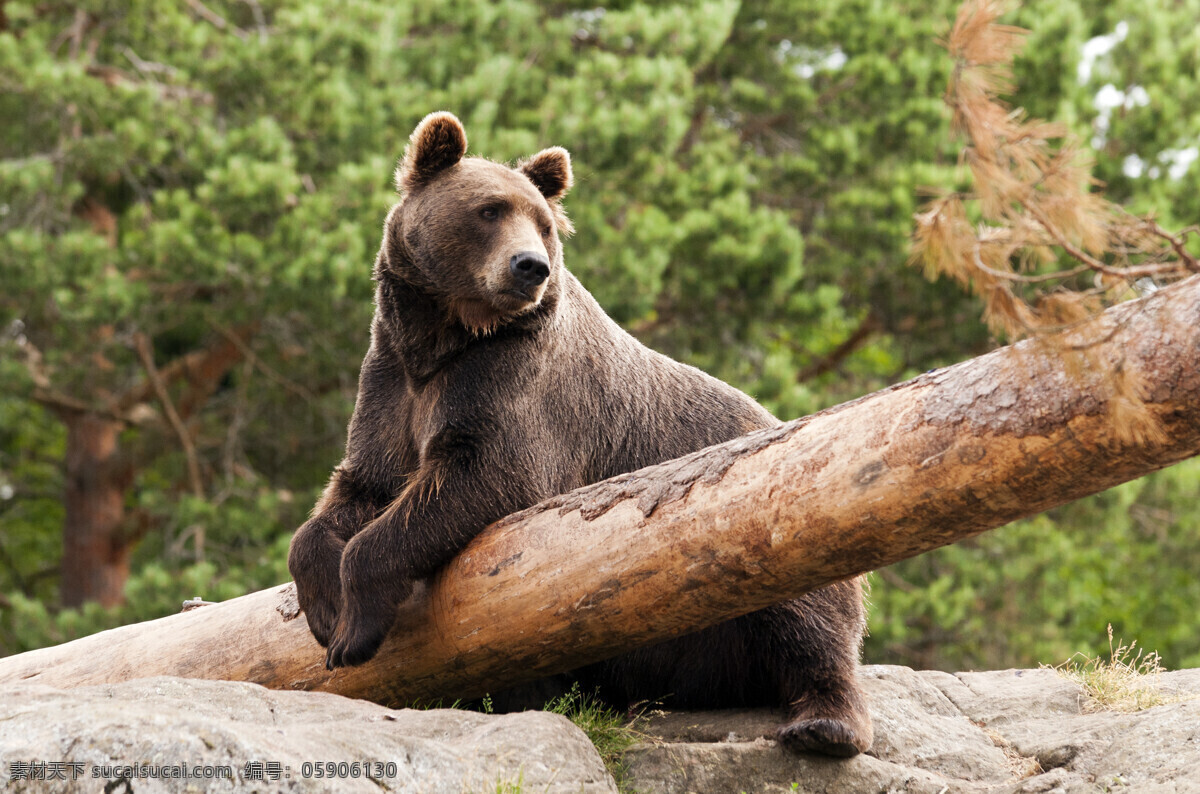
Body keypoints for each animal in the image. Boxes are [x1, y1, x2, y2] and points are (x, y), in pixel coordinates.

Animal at [290, 110, 873, 758]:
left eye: (543, 224)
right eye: (489, 210)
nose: (530, 267)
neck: (448, 337)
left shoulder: (513, 385)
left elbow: (481, 475)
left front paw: (351, 632)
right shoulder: (394, 382)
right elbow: (358, 487)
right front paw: (324, 606)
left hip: (777, 504)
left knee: (803, 613)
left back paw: (823, 723)